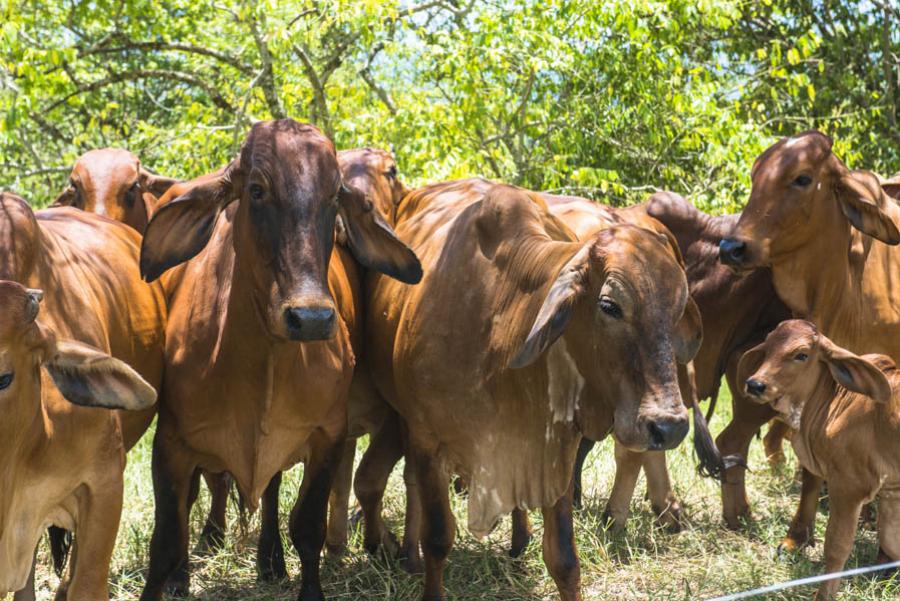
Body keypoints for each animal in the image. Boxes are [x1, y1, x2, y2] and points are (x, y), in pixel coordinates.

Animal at [138, 119, 426, 596]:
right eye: (256, 189)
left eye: (334, 196)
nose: (310, 318)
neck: (264, 360)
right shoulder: (171, 443)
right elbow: (164, 543)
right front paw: (173, 574)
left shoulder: (328, 435)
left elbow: (307, 529)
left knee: (271, 491)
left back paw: (270, 559)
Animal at [364, 179, 696, 600]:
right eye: (609, 305)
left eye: (678, 308)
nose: (668, 426)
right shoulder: (427, 441)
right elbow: (438, 538)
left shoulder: (554, 449)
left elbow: (564, 558)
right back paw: (410, 556)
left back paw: (519, 539)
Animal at [740, 318, 900, 600]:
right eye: (767, 348)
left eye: (801, 355)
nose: (755, 384)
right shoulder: (891, 492)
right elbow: (891, 542)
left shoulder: (849, 487)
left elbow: (836, 547)